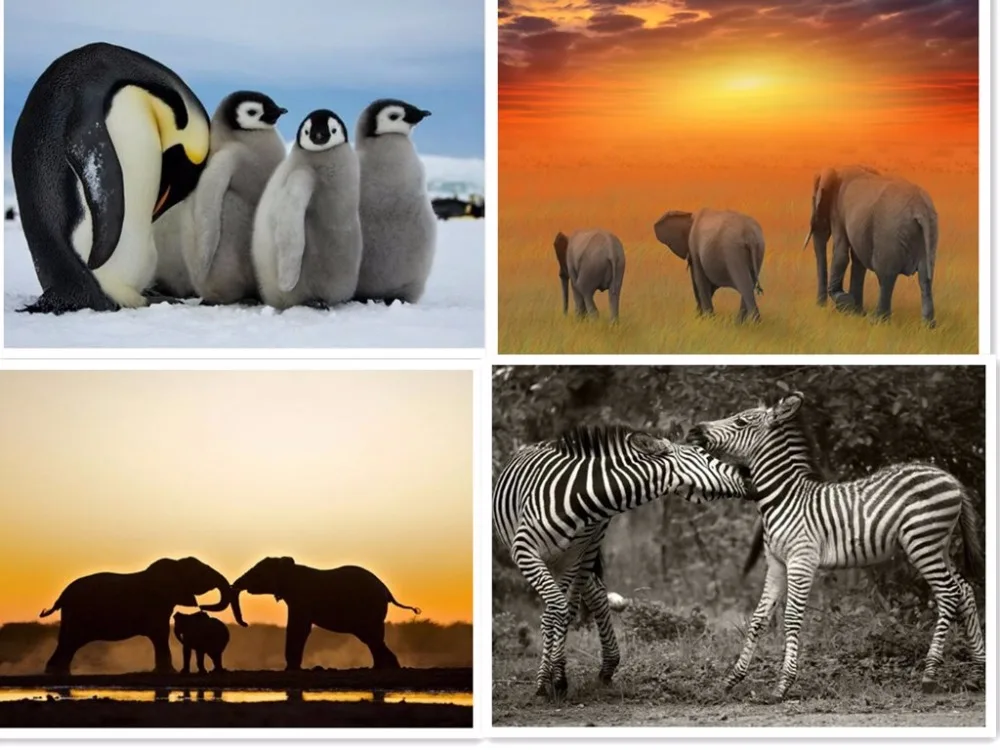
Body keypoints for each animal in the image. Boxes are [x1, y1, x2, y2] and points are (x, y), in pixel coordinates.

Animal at [38, 556, 246, 675]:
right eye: (202, 574)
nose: (203, 606)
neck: (175, 565)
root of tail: (62, 597)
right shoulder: (157, 603)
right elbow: (160, 633)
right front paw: (167, 672)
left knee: (66, 641)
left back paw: (56, 672)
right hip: (79, 614)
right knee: (71, 641)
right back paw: (56, 672)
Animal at [232, 557, 421, 670]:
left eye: (257, 573)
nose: (245, 623)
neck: (288, 568)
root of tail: (387, 591)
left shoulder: (301, 598)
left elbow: (298, 628)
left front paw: (291, 669)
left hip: (370, 609)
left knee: (372, 638)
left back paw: (389, 668)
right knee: (372, 639)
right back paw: (381, 668)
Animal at [803, 165, 938, 326]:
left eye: (813, 199)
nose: (820, 307)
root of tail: (920, 208)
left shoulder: (838, 212)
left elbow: (841, 254)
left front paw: (846, 303)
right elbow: (858, 262)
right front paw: (856, 312)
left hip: (889, 235)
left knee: (886, 276)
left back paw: (878, 321)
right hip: (929, 233)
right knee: (925, 279)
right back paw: (928, 326)